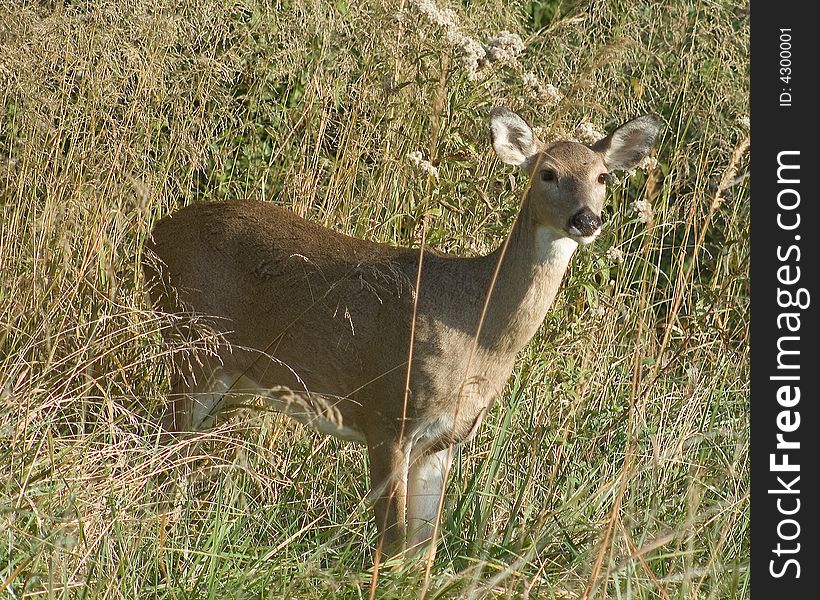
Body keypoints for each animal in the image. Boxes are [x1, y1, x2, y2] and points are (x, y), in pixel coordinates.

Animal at [144, 108, 664, 556]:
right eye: (548, 173)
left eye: (602, 176)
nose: (587, 219)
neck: (476, 329)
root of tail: (153, 236)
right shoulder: (387, 413)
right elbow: (393, 544)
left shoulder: (445, 439)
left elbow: (422, 547)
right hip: (191, 345)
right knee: (163, 440)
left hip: (233, 374)